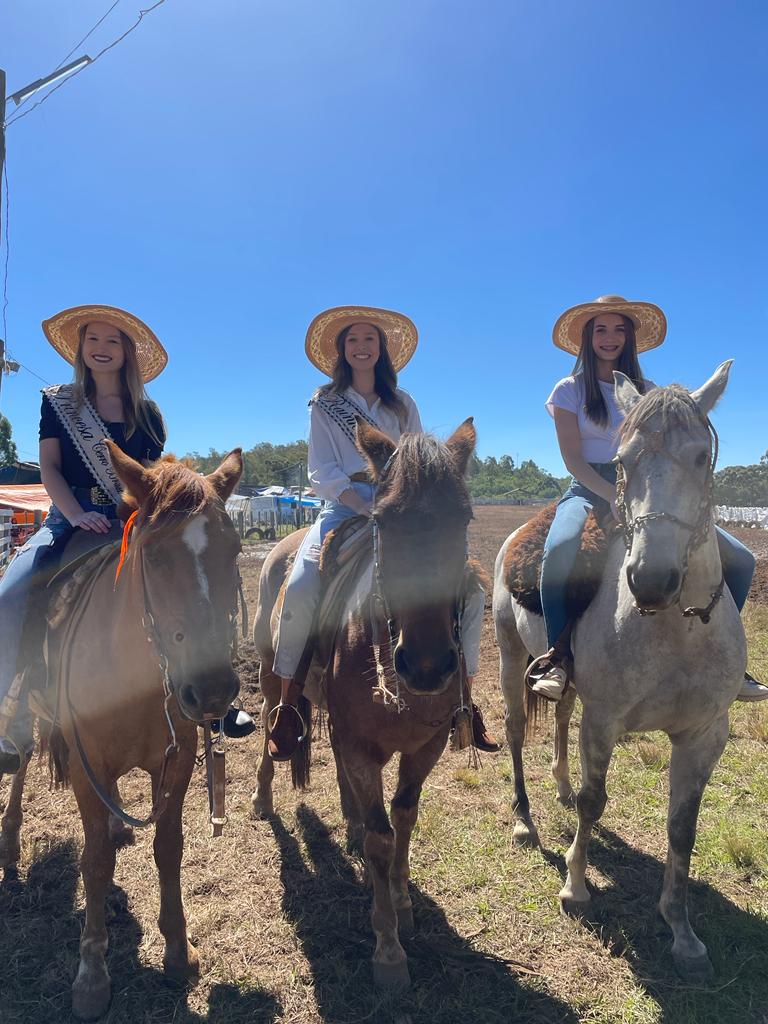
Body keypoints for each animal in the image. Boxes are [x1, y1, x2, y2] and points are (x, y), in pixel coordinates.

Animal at [0, 444, 243, 1019]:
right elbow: (94, 862)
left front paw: (178, 952)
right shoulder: (86, 763)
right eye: (153, 556)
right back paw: (10, 841)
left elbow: (169, 848)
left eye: (235, 549)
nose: (213, 689)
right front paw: (92, 975)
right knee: (19, 757)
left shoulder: (175, 763)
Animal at [252, 419, 481, 987]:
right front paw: (388, 948)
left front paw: (401, 901)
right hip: (270, 678)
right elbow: (381, 837)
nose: (427, 665)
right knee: (270, 726)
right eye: (382, 519)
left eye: (463, 517)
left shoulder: (426, 746)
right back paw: (263, 799)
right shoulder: (360, 744)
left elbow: (403, 818)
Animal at [495, 364, 749, 978]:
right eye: (622, 461)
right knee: (515, 731)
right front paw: (575, 889)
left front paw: (681, 930)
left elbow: (683, 824)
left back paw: (561, 786)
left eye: (701, 456)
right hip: (509, 656)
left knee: (561, 713)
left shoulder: (705, 735)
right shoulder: (605, 721)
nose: (651, 580)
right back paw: (525, 821)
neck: (675, 629)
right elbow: (596, 801)